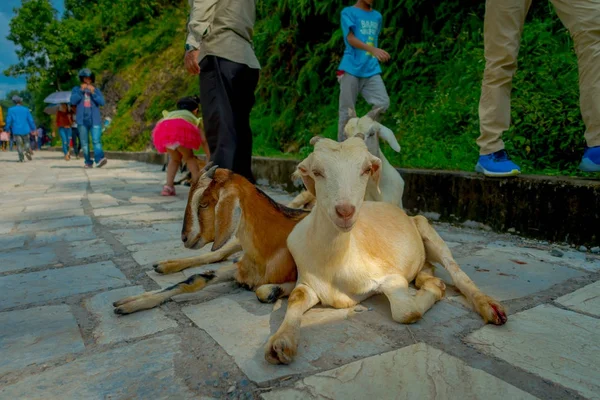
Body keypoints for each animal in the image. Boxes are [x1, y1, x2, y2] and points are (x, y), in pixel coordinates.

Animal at [113, 164, 310, 314]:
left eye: (203, 204)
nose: (185, 237)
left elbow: (264, 291)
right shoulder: (240, 266)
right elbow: (195, 279)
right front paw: (132, 302)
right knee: (217, 254)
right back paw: (165, 264)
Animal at [264, 137, 504, 366]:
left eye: (366, 169)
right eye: (317, 171)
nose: (345, 211)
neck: (336, 261)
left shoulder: (390, 277)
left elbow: (407, 311)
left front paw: (436, 289)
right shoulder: (308, 281)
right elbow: (296, 297)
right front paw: (281, 342)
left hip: (426, 228)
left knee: (455, 270)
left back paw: (488, 306)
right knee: (427, 267)